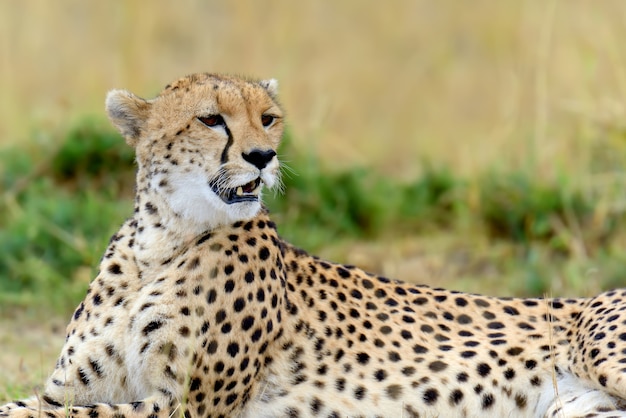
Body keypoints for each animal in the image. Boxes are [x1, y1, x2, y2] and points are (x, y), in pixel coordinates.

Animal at [2, 73, 624, 416]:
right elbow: (31, 406)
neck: (161, 240)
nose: (263, 156)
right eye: (211, 120)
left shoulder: (180, 405)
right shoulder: (69, 389)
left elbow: (60, 417)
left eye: (268, 118)